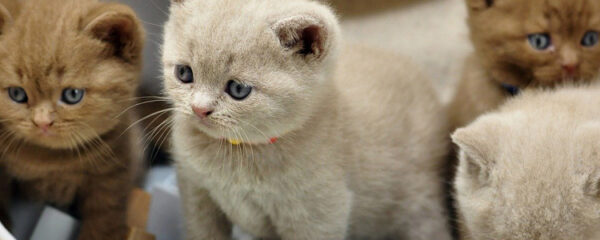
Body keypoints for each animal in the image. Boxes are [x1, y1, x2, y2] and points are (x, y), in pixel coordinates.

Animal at [0, 0, 145, 239]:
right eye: (17, 94)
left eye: (72, 95)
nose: (42, 122)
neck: (49, 162)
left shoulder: (115, 169)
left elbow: (105, 213)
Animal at [162, 0, 452, 240]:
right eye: (184, 73)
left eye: (238, 89)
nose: (199, 109)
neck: (238, 152)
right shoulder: (195, 192)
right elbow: (203, 231)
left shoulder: (318, 212)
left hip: (418, 203)